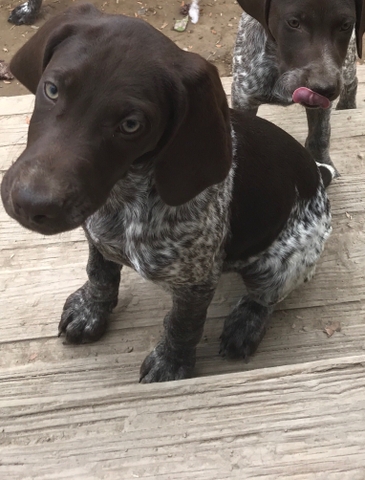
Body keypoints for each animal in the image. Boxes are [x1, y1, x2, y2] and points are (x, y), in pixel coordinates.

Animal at [1, 4, 334, 382]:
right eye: (52, 89)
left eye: (131, 125)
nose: (31, 205)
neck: (124, 197)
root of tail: (317, 179)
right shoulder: (95, 235)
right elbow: (99, 274)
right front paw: (91, 311)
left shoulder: (196, 281)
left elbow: (183, 324)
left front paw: (171, 364)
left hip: (282, 261)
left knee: (267, 297)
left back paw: (246, 322)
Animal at [232, 0, 364, 172]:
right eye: (294, 23)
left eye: (346, 25)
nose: (324, 89)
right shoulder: (243, 100)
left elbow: (319, 135)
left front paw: (321, 164)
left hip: (346, 64)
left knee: (352, 81)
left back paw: (347, 105)